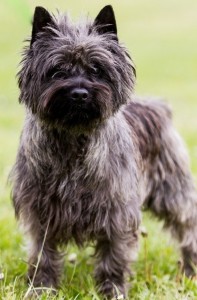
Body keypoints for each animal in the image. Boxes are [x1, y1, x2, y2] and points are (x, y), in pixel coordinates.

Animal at [11, 5, 197, 300]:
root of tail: (157, 106)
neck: (73, 141)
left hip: (174, 193)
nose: (79, 93)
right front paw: (42, 288)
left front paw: (113, 290)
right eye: (57, 71)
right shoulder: (40, 213)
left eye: (97, 69)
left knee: (188, 229)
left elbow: (114, 256)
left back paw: (190, 270)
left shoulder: (117, 213)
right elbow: (43, 254)